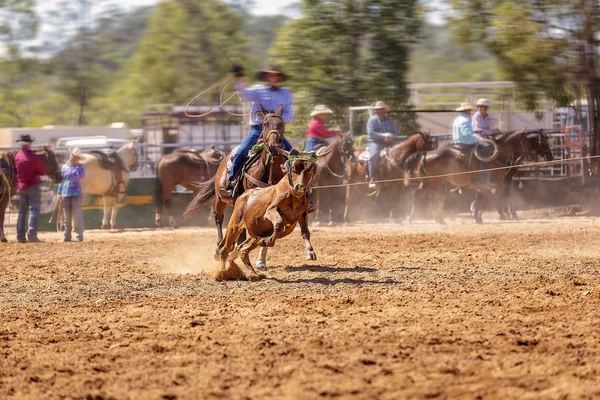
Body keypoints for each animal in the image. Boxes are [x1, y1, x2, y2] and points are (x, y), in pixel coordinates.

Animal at [406, 131, 540, 225]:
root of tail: (426, 154)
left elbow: (483, 197)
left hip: (427, 182)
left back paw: (413, 217)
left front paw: (478, 214)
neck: (497, 156)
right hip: (438, 182)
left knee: (416, 194)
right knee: (436, 198)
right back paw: (439, 219)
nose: (532, 155)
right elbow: (497, 196)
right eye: (525, 141)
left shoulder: (488, 184)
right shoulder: (497, 182)